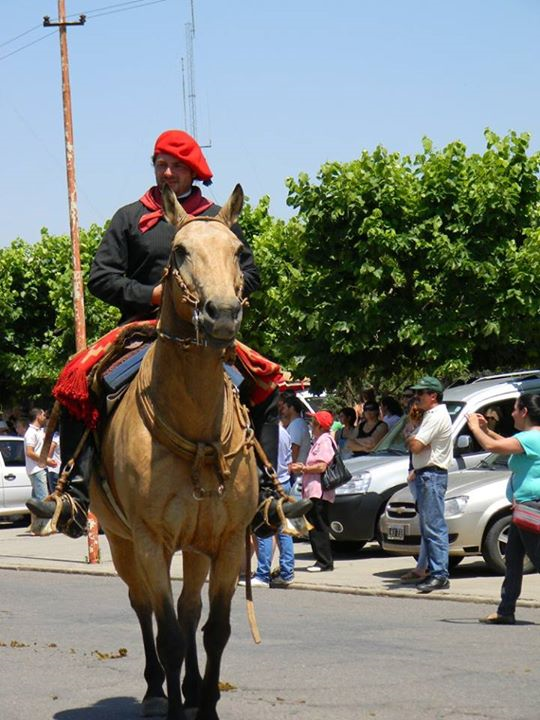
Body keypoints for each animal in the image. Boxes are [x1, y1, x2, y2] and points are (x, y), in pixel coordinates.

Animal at [90, 184, 259, 720]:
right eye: (180, 252)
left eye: (239, 252)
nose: (221, 314)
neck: (196, 425)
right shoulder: (150, 541)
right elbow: (166, 636)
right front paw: (170, 698)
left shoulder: (228, 541)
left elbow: (214, 629)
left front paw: (205, 705)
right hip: (121, 542)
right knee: (144, 608)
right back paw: (155, 690)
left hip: (197, 546)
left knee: (189, 615)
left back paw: (188, 689)